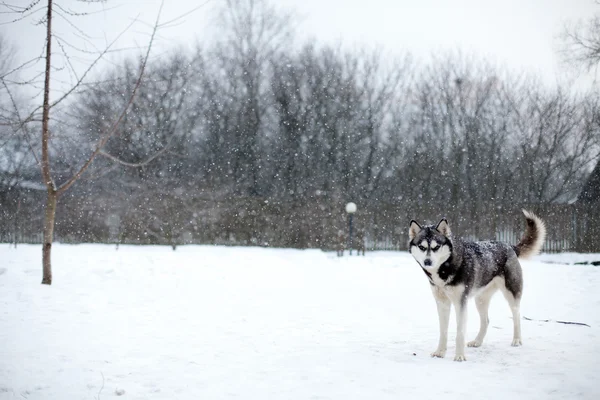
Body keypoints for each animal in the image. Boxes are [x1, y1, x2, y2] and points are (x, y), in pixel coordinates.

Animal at [410, 211, 548, 360]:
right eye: (422, 247)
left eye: (436, 247)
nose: (427, 261)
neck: (446, 268)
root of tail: (509, 246)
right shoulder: (442, 303)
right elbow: (443, 331)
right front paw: (440, 352)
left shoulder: (461, 303)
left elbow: (460, 332)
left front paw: (459, 356)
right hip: (480, 299)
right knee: (486, 321)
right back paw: (477, 341)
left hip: (511, 294)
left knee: (516, 315)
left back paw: (517, 339)